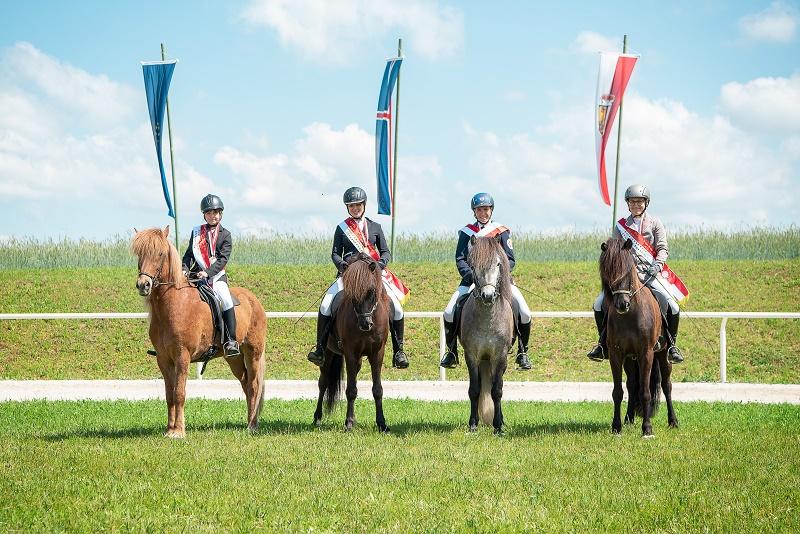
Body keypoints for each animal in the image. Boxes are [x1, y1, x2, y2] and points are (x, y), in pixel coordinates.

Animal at [131, 227, 268, 440]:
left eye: (160, 253)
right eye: (140, 253)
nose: (143, 285)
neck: (173, 304)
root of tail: (253, 299)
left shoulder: (182, 356)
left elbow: (179, 393)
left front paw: (179, 431)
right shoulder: (163, 359)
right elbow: (169, 394)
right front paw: (169, 430)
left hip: (253, 352)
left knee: (254, 386)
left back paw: (252, 426)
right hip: (234, 358)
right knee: (246, 384)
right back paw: (248, 422)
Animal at [312, 253, 390, 434]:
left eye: (372, 291)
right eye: (352, 294)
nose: (365, 324)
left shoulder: (377, 353)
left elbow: (377, 389)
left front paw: (382, 423)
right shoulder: (350, 353)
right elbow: (351, 390)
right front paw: (348, 423)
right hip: (328, 353)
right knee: (323, 382)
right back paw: (317, 418)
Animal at [460, 236, 516, 436]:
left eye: (498, 263)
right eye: (473, 265)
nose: (488, 296)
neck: (487, 318)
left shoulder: (499, 356)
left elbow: (497, 390)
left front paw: (498, 426)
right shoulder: (471, 355)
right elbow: (474, 390)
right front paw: (473, 424)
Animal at [596, 239, 680, 440]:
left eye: (628, 271)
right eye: (608, 273)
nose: (621, 305)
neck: (630, 315)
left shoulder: (646, 354)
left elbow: (646, 392)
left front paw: (647, 428)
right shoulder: (617, 355)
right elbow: (618, 391)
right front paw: (616, 427)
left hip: (663, 354)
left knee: (666, 385)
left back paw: (673, 421)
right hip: (630, 359)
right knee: (632, 385)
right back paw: (628, 419)